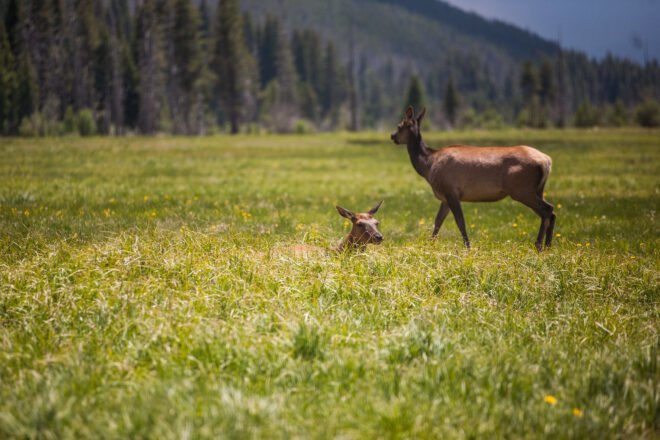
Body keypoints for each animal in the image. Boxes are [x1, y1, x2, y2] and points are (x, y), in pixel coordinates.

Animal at [390, 106, 555, 251]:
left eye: (399, 126)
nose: (392, 136)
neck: (428, 166)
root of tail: (546, 161)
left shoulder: (451, 191)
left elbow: (460, 222)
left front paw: (468, 247)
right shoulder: (445, 197)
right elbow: (437, 222)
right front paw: (430, 244)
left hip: (521, 189)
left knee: (547, 210)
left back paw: (539, 245)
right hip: (538, 190)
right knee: (551, 211)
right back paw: (548, 246)